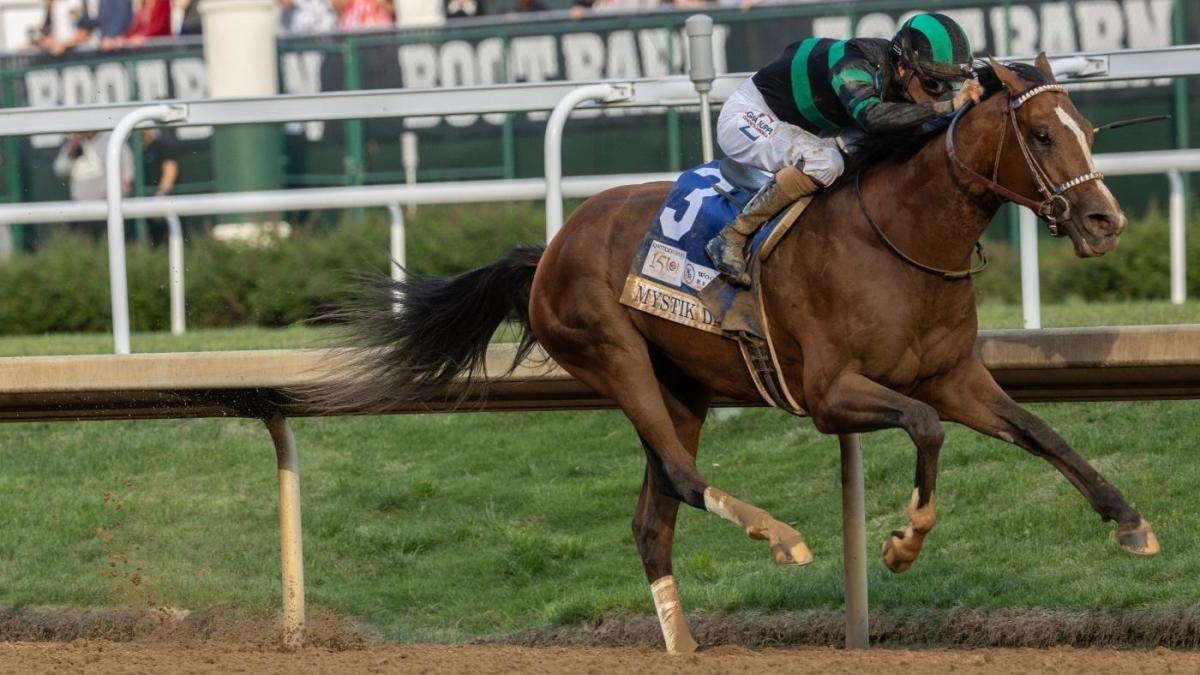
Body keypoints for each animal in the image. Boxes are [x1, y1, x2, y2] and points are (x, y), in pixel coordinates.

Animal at [318, 55, 1157, 653]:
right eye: (1043, 135)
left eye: (1087, 127)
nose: (1106, 221)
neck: (902, 234)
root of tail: (550, 246)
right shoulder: (830, 394)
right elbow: (924, 427)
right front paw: (901, 543)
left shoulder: (954, 374)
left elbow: (1039, 431)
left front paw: (1128, 521)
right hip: (613, 356)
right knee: (682, 478)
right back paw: (779, 536)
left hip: (681, 385)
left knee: (652, 519)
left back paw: (684, 642)